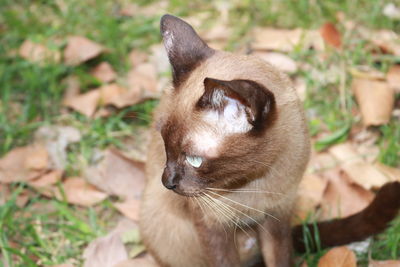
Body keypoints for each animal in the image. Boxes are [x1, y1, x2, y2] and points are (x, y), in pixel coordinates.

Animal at [139, 14, 400, 267]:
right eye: (165, 145)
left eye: (194, 159)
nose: (167, 182)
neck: (253, 182)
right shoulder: (213, 226)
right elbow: (224, 261)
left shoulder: (277, 217)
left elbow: (280, 258)